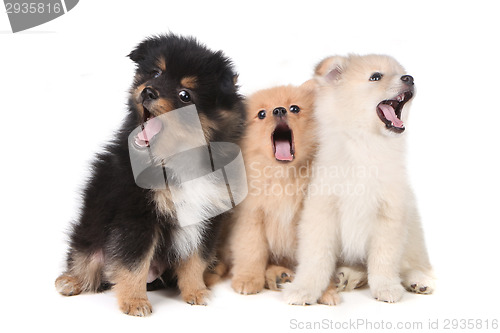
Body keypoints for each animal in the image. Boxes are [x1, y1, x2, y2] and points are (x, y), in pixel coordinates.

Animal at [55, 34, 245, 316]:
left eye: (185, 95)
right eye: (156, 72)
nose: (148, 91)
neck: (177, 158)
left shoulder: (208, 213)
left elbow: (195, 258)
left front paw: (196, 291)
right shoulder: (137, 215)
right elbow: (134, 262)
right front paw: (135, 301)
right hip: (90, 231)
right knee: (87, 256)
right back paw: (71, 281)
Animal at [286, 54, 434, 304]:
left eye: (401, 72)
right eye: (376, 77)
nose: (409, 78)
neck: (365, 144)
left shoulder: (389, 214)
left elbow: (384, 260)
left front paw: (386, 287)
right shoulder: (322, 213)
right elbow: (315, 259)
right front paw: (304, 288)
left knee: (412, 263)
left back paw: (419, 280)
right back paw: (346, 276)